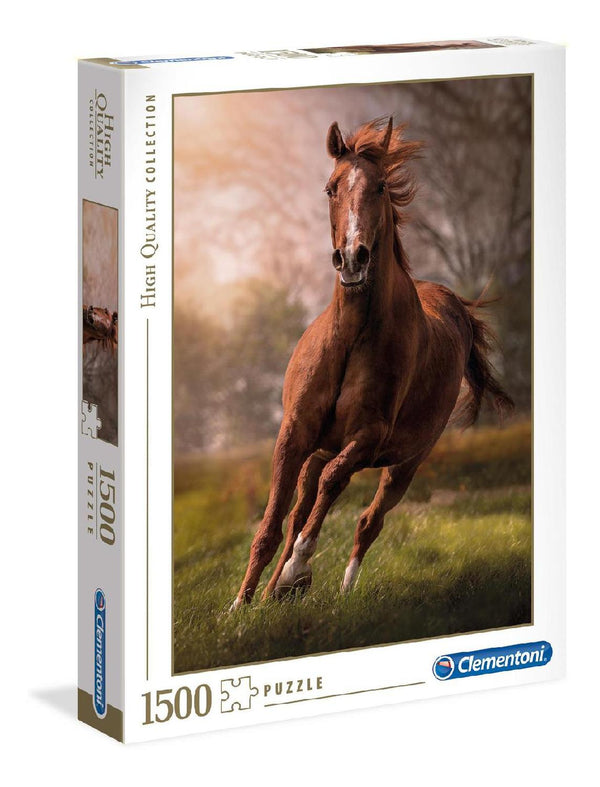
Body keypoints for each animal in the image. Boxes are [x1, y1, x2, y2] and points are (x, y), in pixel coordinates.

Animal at [231, 117, 513, 609]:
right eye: (331, 188)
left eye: (380, 186)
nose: (353, 258)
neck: (350, 337)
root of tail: (455, 303)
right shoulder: (294, 433)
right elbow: (273, 522)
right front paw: (240, 606)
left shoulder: (368, 436)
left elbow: (332, 487)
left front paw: (297, 571)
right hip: (322, 448)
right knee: (302, 507)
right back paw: (272, 593)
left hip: (406, 463)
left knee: (367, 520)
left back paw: (337, 590)